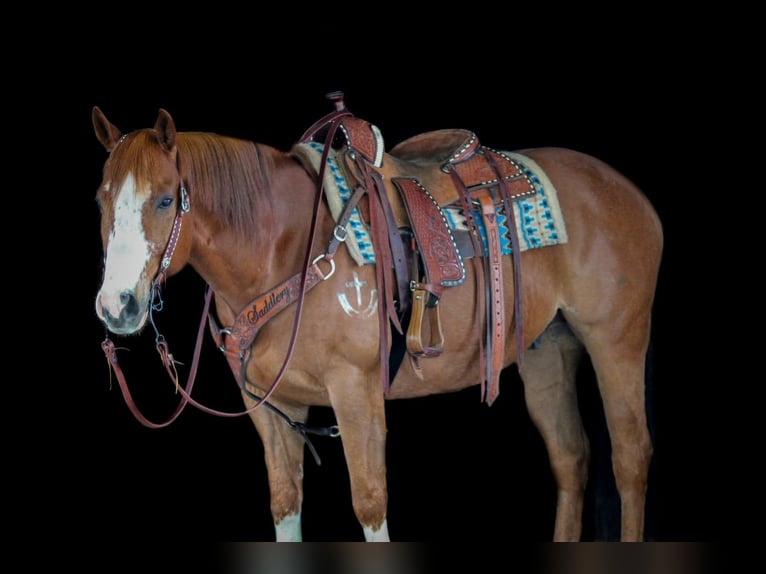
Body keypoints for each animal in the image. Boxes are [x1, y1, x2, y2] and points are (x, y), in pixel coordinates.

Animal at [92, 94, 663, 541]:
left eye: (166, 200)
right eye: (101, 200)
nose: (117, 305)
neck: (285, 250)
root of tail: (632, 195)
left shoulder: (355, 391)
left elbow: (369, 503)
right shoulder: (272, 407)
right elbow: (286, 504)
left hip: (617, 343)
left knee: (630, 458)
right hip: (548, 349)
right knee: (571, 457)